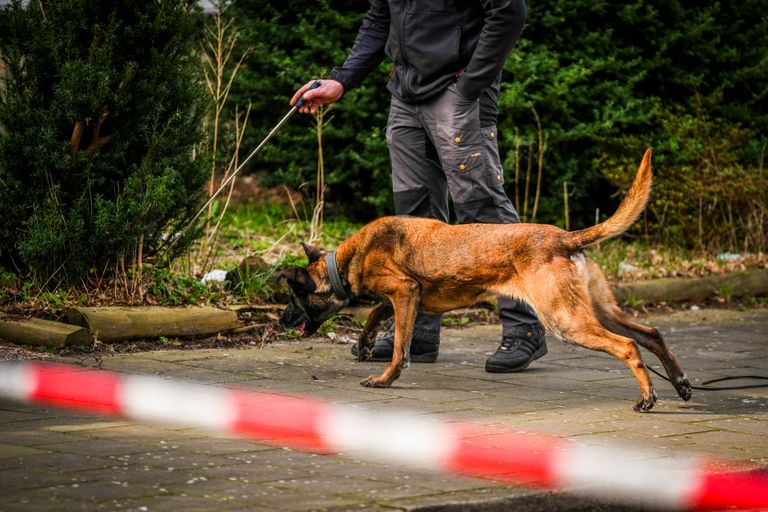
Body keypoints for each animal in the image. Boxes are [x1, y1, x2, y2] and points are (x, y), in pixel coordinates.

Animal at [280, 149, 692, 412]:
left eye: (294, 300)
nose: (280, 321)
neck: (347, 259)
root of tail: (565, 238)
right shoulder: (404, 296)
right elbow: (376, 316)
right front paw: (366, 345)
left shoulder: (405, 291)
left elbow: (398, 345)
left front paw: (384, 378)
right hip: (597, 309)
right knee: (650, 334)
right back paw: (679, 382)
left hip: (566, 320)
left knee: (628, 346)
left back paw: (648, 397)